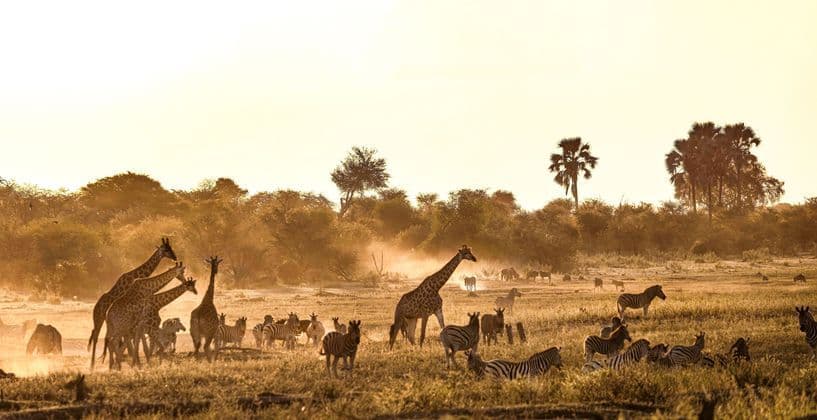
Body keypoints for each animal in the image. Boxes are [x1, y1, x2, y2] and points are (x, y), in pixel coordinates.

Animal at [88, 237, 177, 369]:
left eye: (171, 247)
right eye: (166, 249)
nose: (175, 257)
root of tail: (95, 307)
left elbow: (133, 336)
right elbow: (133, 336)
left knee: (103, 336)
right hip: (99, 319)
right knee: (96, 336)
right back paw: (93, 364)